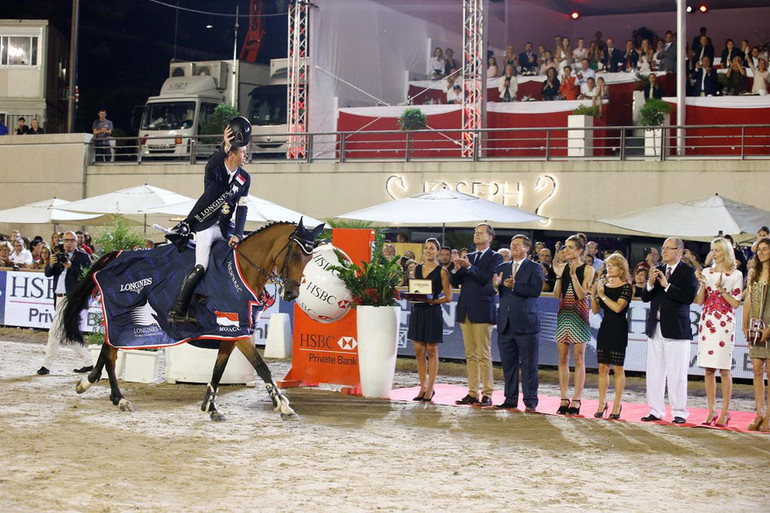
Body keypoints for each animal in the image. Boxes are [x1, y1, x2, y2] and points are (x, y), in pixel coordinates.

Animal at [60, 219, 320, 420]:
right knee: (110, 353)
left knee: (108, 349)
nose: (291, 294)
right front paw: (283, 406)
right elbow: (262, 366)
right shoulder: (237, 331)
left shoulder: (232, 332)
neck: (240, 270)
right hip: (123, 319)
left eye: (309, 259)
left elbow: (219, 369)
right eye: (295, 253)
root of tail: (117, 255)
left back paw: (94, 385)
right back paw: (118, 397)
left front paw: (210, 406)